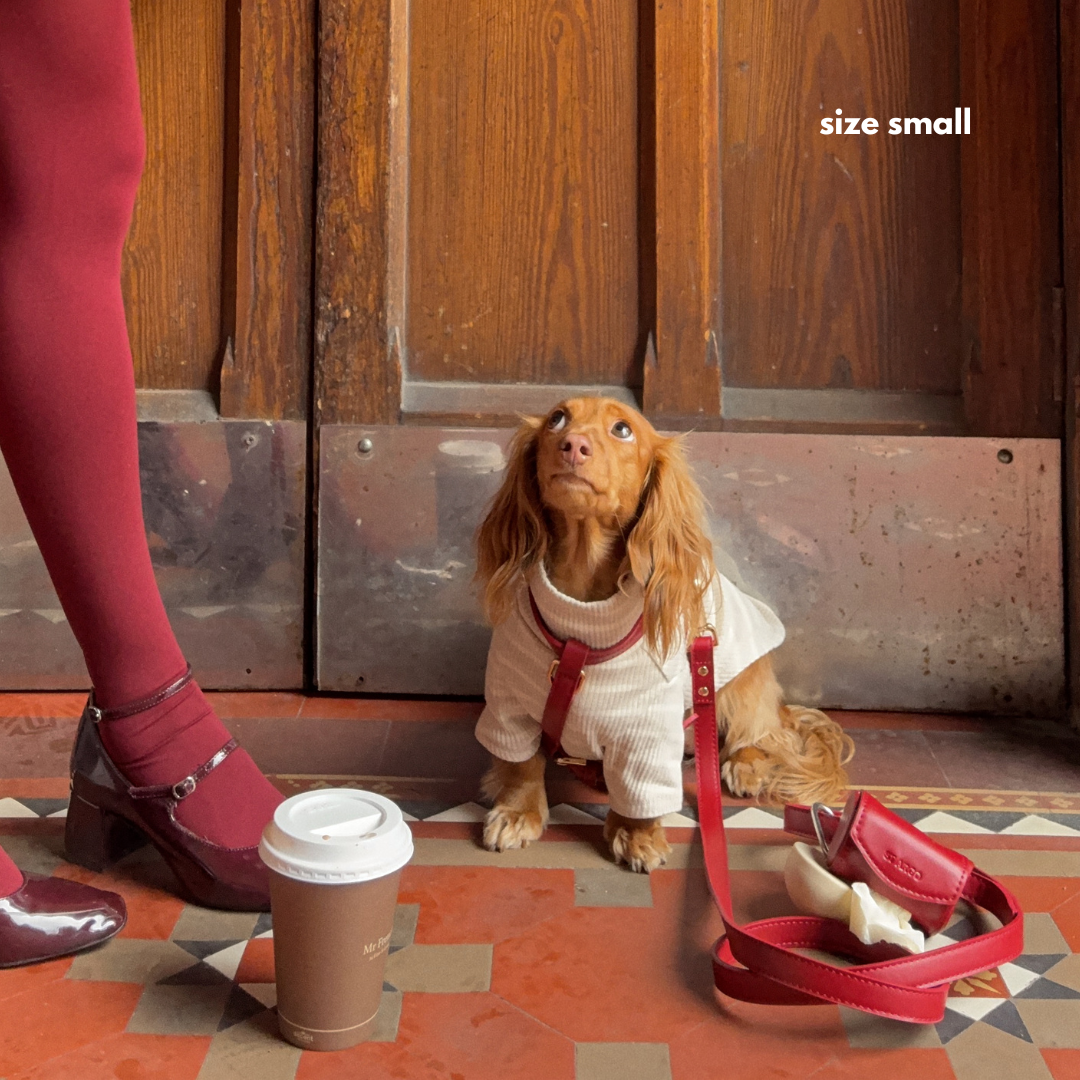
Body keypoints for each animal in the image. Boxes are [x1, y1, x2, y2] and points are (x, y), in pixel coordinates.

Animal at [473, 397, 851, 868]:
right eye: (557, 419)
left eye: (622, 429)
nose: (572, 445)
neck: (582, 612)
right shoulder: (510, 706)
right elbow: (521, 765)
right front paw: (517, 812)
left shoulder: (648, 728)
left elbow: (643, 787)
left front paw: (637, 833)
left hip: (739, 678)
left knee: (759, 729)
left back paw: (745, 762)